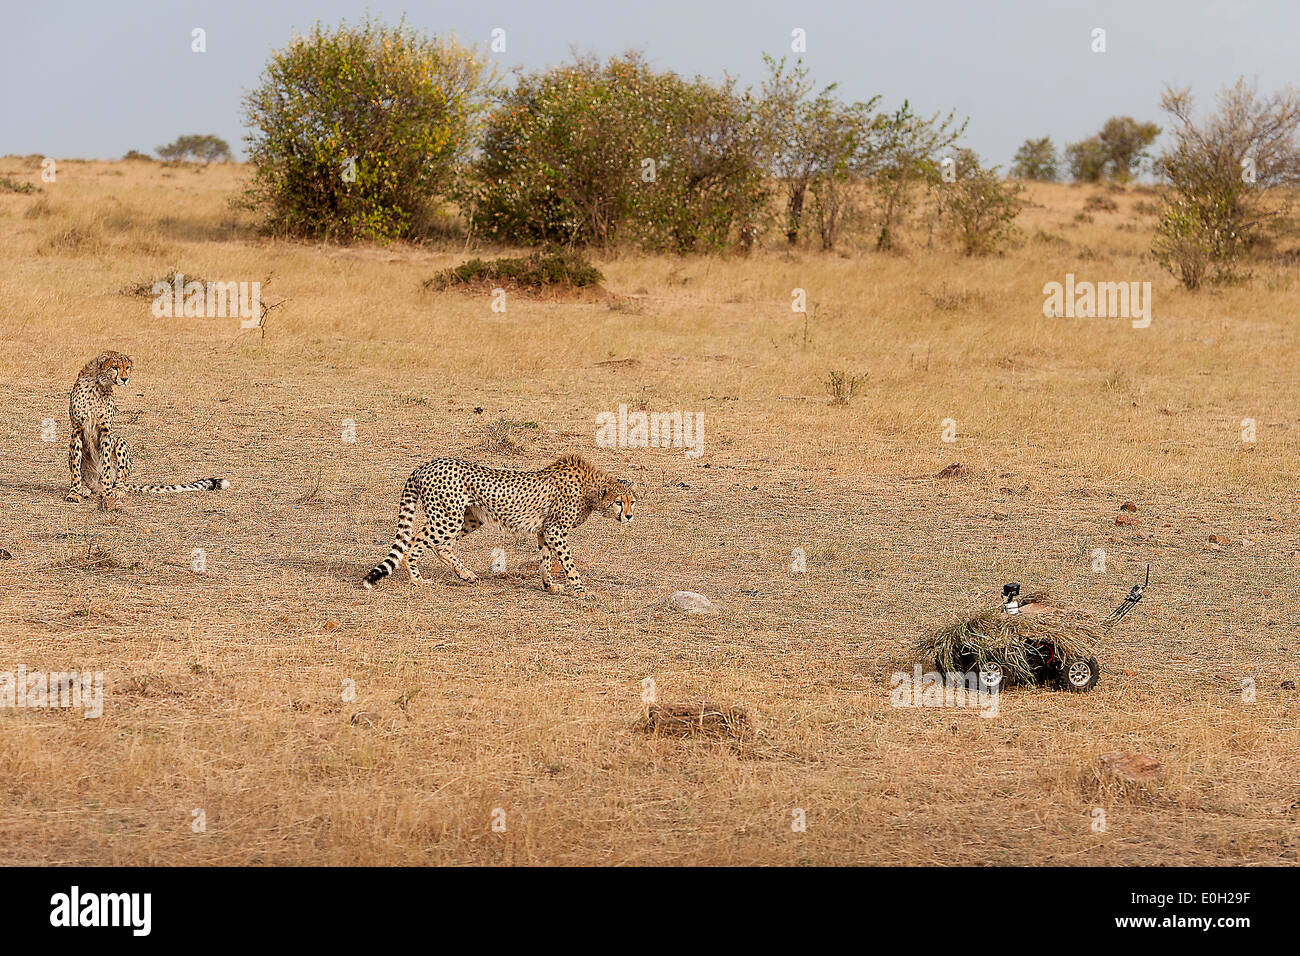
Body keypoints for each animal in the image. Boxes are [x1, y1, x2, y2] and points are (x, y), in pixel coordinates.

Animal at [66, 348, 231, 502]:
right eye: (114, 367)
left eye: (127, 367)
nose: (125, 379)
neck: (97, 384)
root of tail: (96, 485)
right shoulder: (77, 429)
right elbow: (75, 466)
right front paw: (74, 492)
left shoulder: (105, 431)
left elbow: (105, 464)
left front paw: (107, 493)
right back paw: (85, 488)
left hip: (120, 442)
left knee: (119, 478)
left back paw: (116, 489)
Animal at [364, 452, 637, 595]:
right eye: (618, 502)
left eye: (632, 502)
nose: (629, 516)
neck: (590, 490)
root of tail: (427, 464)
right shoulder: (555, 530)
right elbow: (568, 562)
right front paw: (581, 589)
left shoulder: (544, 531)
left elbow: (546, 560)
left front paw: (549, 586)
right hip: (448, 517)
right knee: (414, 542)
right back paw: (418, 580)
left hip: (469, 517)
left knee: (440, 545)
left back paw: (466, 574)